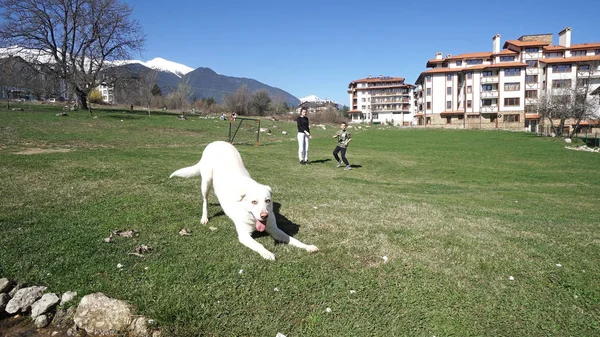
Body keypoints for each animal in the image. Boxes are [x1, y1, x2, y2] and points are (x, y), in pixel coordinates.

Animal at [169, 140, 318, 258]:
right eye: (254, 202)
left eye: (267, 201)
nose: (264, 215)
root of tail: (217, 142)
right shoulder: (244, 236)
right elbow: (259, 245)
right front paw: (267, 253)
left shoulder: (275, 230)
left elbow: (293, 239)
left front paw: (308, 246)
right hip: (206, 182)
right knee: (205, 201)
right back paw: (204, 217)